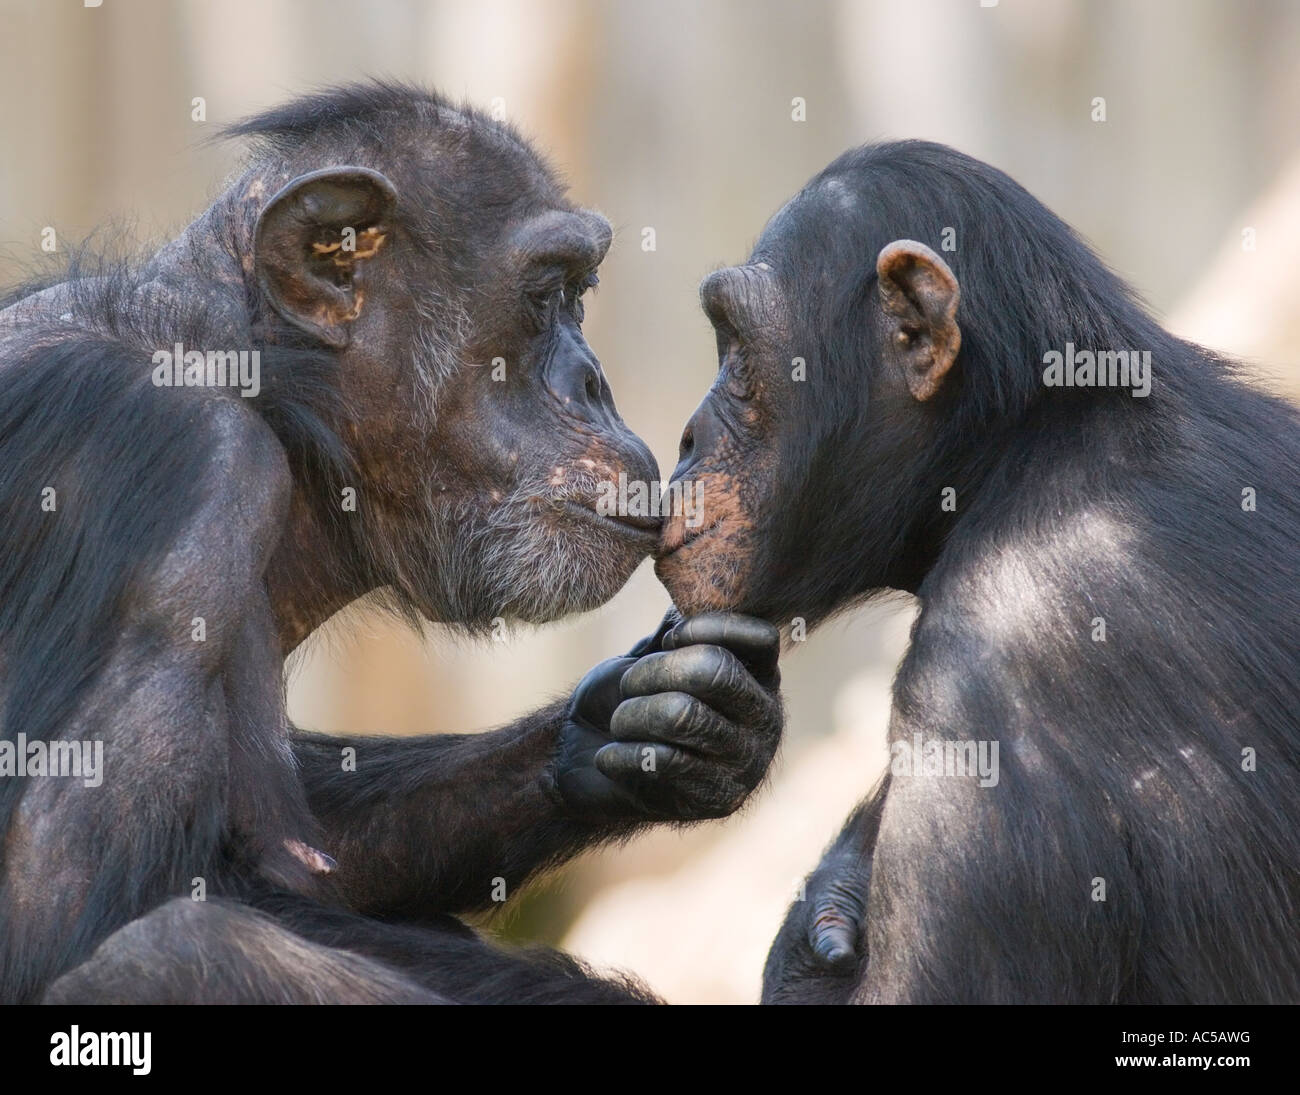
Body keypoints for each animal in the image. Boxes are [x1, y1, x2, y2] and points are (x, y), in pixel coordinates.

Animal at [0, 80, 774, 1003]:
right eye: (545, 295)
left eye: (581, 295)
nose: (594, 383)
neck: (260, 377)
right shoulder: (184, 468)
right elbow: (65, 921)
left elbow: (316, 845)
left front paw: (640, 720)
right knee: (167, 949)